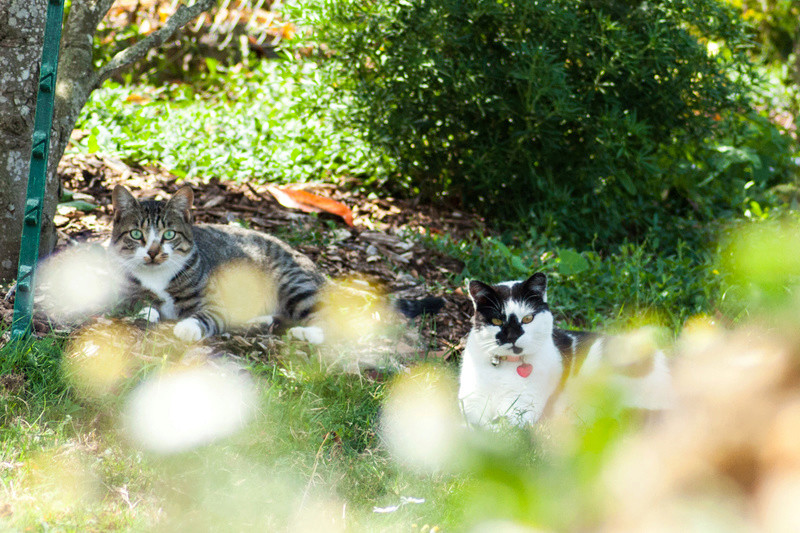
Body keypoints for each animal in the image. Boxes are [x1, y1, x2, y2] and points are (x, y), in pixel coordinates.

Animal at [460, 272, 672, 426]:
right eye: (497, 320)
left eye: (528, 318)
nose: (512, 336)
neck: (504, 367)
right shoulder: (471, 401)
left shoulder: (522, 407)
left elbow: (497, 429)